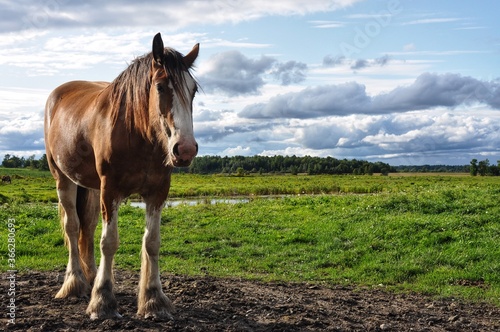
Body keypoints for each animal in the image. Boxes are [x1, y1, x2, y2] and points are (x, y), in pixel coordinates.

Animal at [43, 33, 199, 320]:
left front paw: (153, 300)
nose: (185, 149)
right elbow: (109, 242)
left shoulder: (158, 192)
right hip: (63, 179)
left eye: (192, 90)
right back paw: (74, 283)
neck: (137, 133)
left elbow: (152, 242)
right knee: (73, 227)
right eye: (160, 87)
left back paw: (91, 278)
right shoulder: (110, 190)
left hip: (91, 187)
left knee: (87, 227)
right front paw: (103, 301)